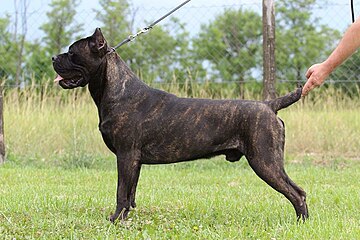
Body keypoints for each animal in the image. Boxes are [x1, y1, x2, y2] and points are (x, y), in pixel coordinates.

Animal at [52, 27, 310, 221]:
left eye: (72, 52)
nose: (54, 57)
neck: (115, 89)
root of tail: (269, 105)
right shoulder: (134, 161)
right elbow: (131, 192)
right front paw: (126, 217)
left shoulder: (125, 156)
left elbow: (120, 191)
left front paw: (115, 219)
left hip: (265, 161)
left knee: (297, 193)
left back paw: (301, 223)